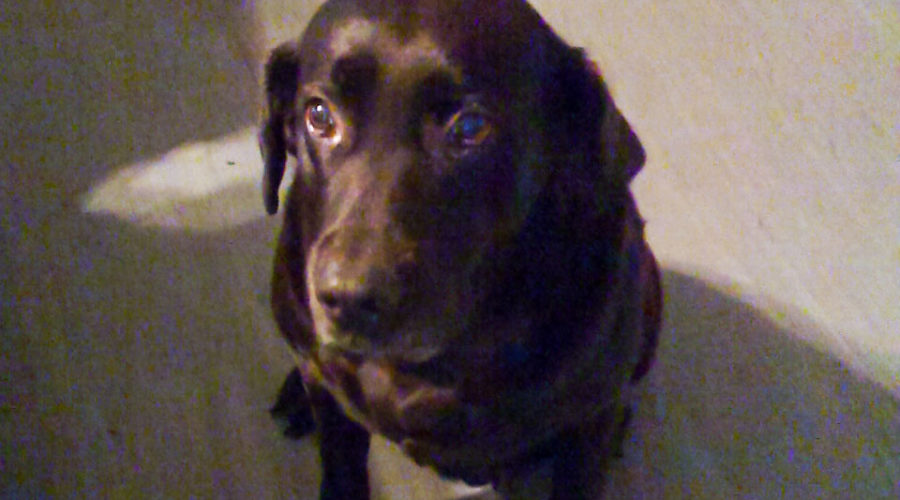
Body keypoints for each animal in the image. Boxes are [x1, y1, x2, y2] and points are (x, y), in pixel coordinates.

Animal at [260, 1, 660, 498]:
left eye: (470, 127)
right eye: (319, 115)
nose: (350, 299)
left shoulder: (589, 422)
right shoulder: (331, 402)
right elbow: (341, 466)